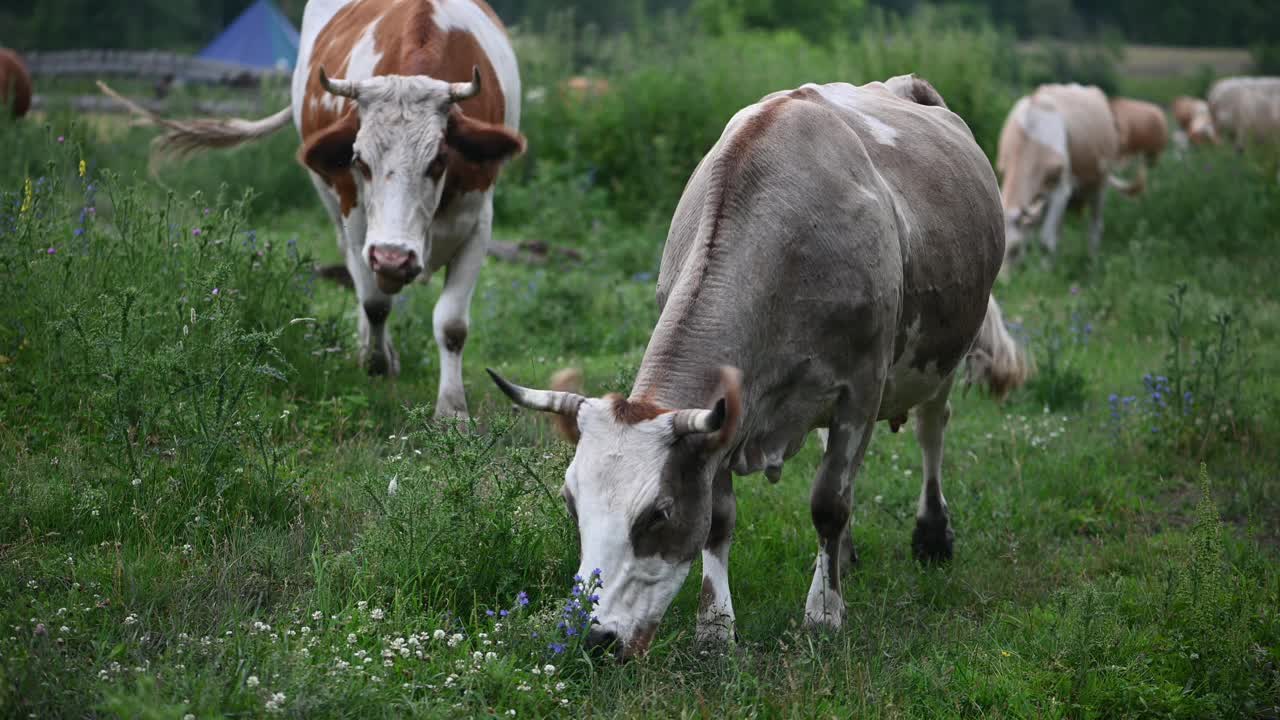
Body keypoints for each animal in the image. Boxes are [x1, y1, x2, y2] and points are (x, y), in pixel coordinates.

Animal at [94, 0, 524, 417]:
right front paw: (377, 362)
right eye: (360, 161)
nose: (392, 258)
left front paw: (452, 410)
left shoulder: (478, 224)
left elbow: (451, 325)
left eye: (438, 161)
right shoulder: (356, 219)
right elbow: (375, 304)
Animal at [486, 74, 1029, 655]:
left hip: (943, 354)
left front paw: (824, 613)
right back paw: (844, 556)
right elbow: (721, 518)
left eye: (658, 513)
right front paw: (715, 626)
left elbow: (829, 502)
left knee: (931, 430)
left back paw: (931, 536)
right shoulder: (725, 417)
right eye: (571, 503)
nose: (593, 637)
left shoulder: (861, 388)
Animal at [993, 81, 1126, 266]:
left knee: (1096, 225)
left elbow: (1045, 242)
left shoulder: (1061, 191)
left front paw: (1044, 270)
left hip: (1101, 184)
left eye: (1015, 249)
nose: (1003, 277)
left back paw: (1092, 260)